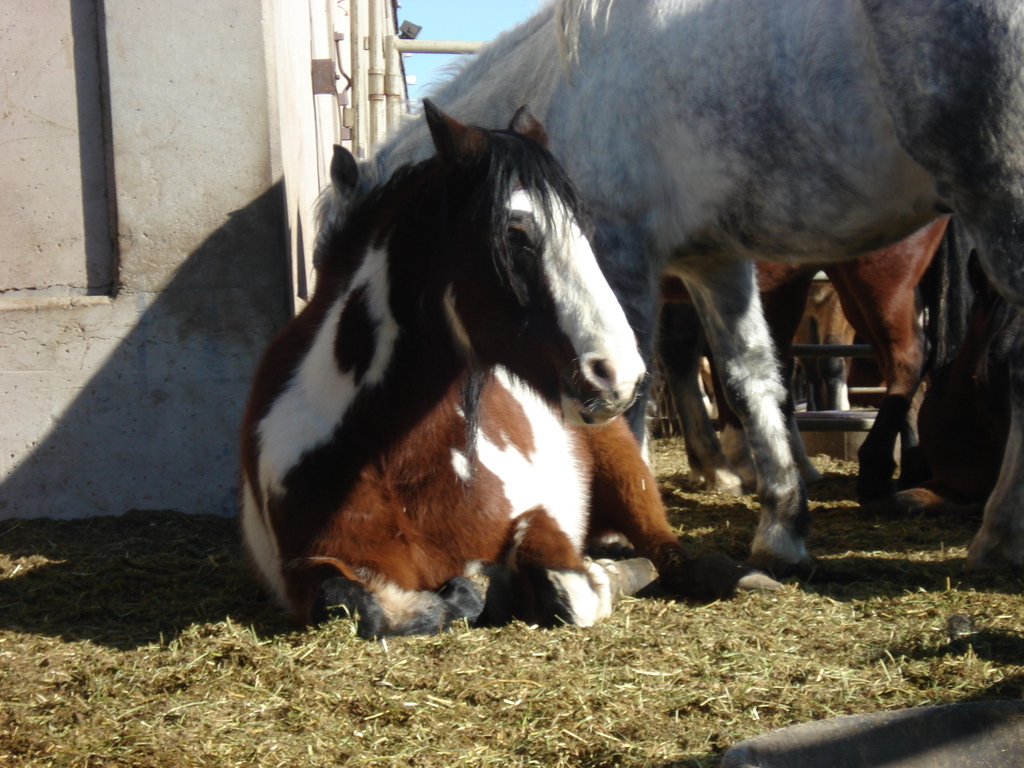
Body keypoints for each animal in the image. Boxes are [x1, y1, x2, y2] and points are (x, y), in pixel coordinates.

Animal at [239, 105, 753, 638]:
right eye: (515, 233)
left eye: (583, 231)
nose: (619, 375)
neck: (387, 459)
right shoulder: (312, 566)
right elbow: (354, 603)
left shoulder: (542, 522)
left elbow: (568, 588)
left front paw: (590, 576)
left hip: (625, 466)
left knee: (667, 552)